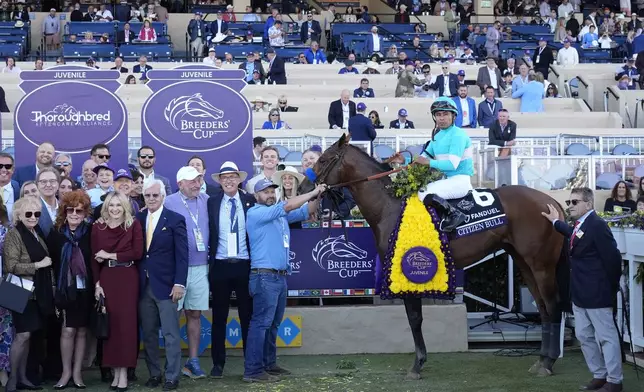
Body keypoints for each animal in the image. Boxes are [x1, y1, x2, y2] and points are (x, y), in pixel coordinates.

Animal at [306, 135, 568, 380]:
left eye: (323, 160)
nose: (306, 187)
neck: (390, 207)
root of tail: (551, 202)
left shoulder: (409, 271)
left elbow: (414, 318)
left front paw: (417, 365)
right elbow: (415, 319)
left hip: (541, 265)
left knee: (553, 306)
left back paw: (549, 362)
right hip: (524, 263)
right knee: (543, 308)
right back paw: (541, 360)